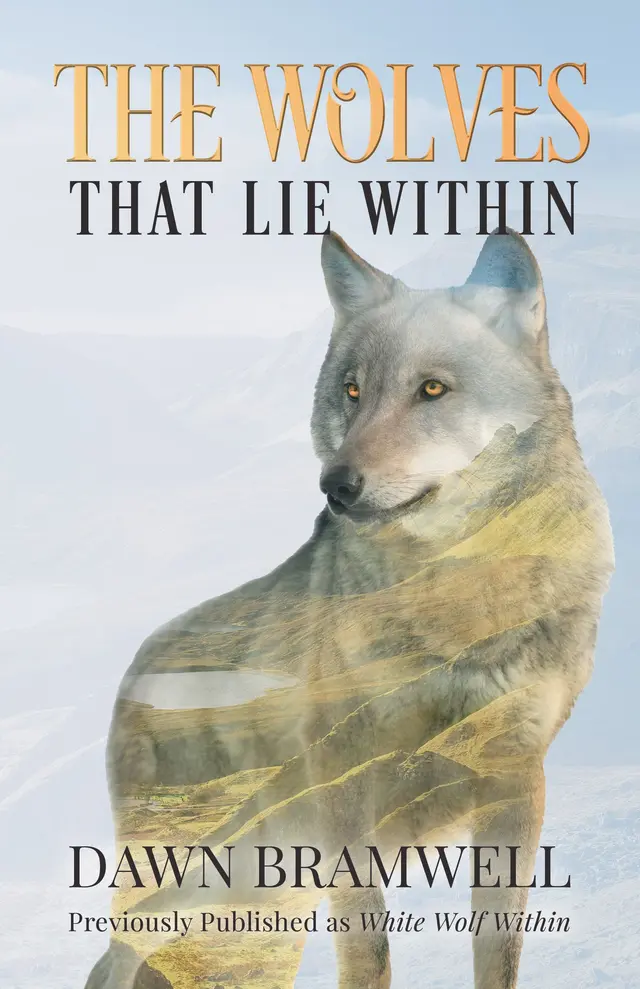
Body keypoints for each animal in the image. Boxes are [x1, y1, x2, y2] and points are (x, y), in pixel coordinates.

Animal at [85, 229, 613, 989]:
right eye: (352, 389)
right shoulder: (345, 798)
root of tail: (136, 663)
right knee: (113, 958)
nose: (335, 485)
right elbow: (369, 949)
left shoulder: (514, 783)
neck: (453, 607)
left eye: (431, 389)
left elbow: (497, 948)